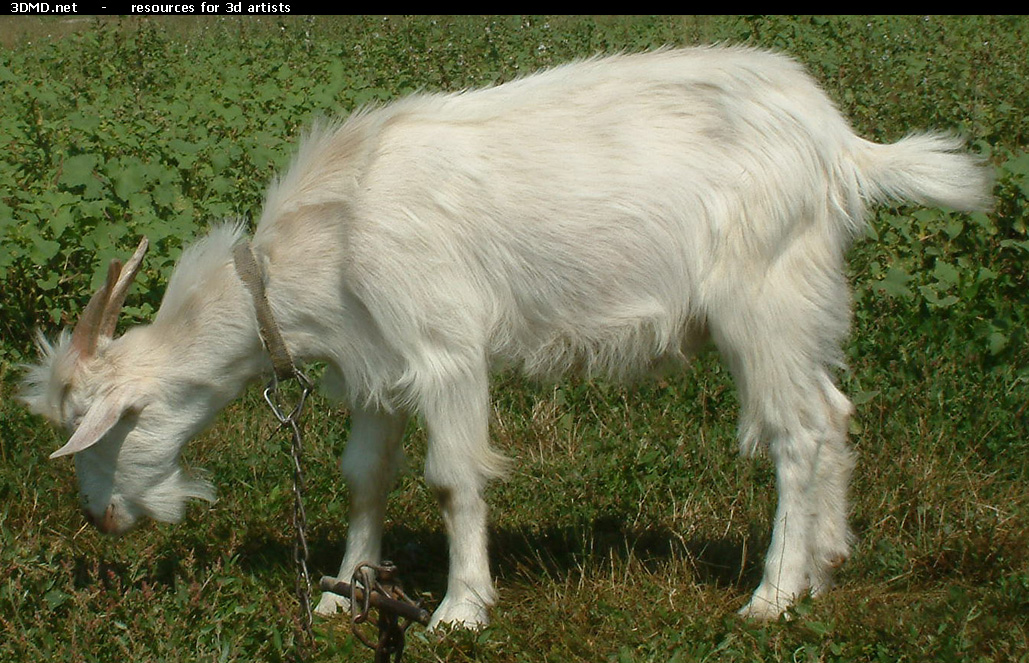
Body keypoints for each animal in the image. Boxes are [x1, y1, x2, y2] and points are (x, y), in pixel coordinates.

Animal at [22, 46, 987, 625]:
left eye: (105, 431)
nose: (102, 520)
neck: (329, 234)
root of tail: (839, 146)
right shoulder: (375, 363)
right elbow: (364, 477)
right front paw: (342, 596)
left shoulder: (443, 349)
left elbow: (453, 479)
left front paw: (459, 610)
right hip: (802, 299)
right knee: (835, 408)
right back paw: (826, 562)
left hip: (762, 297)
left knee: (798, 431)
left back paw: (773, 595)